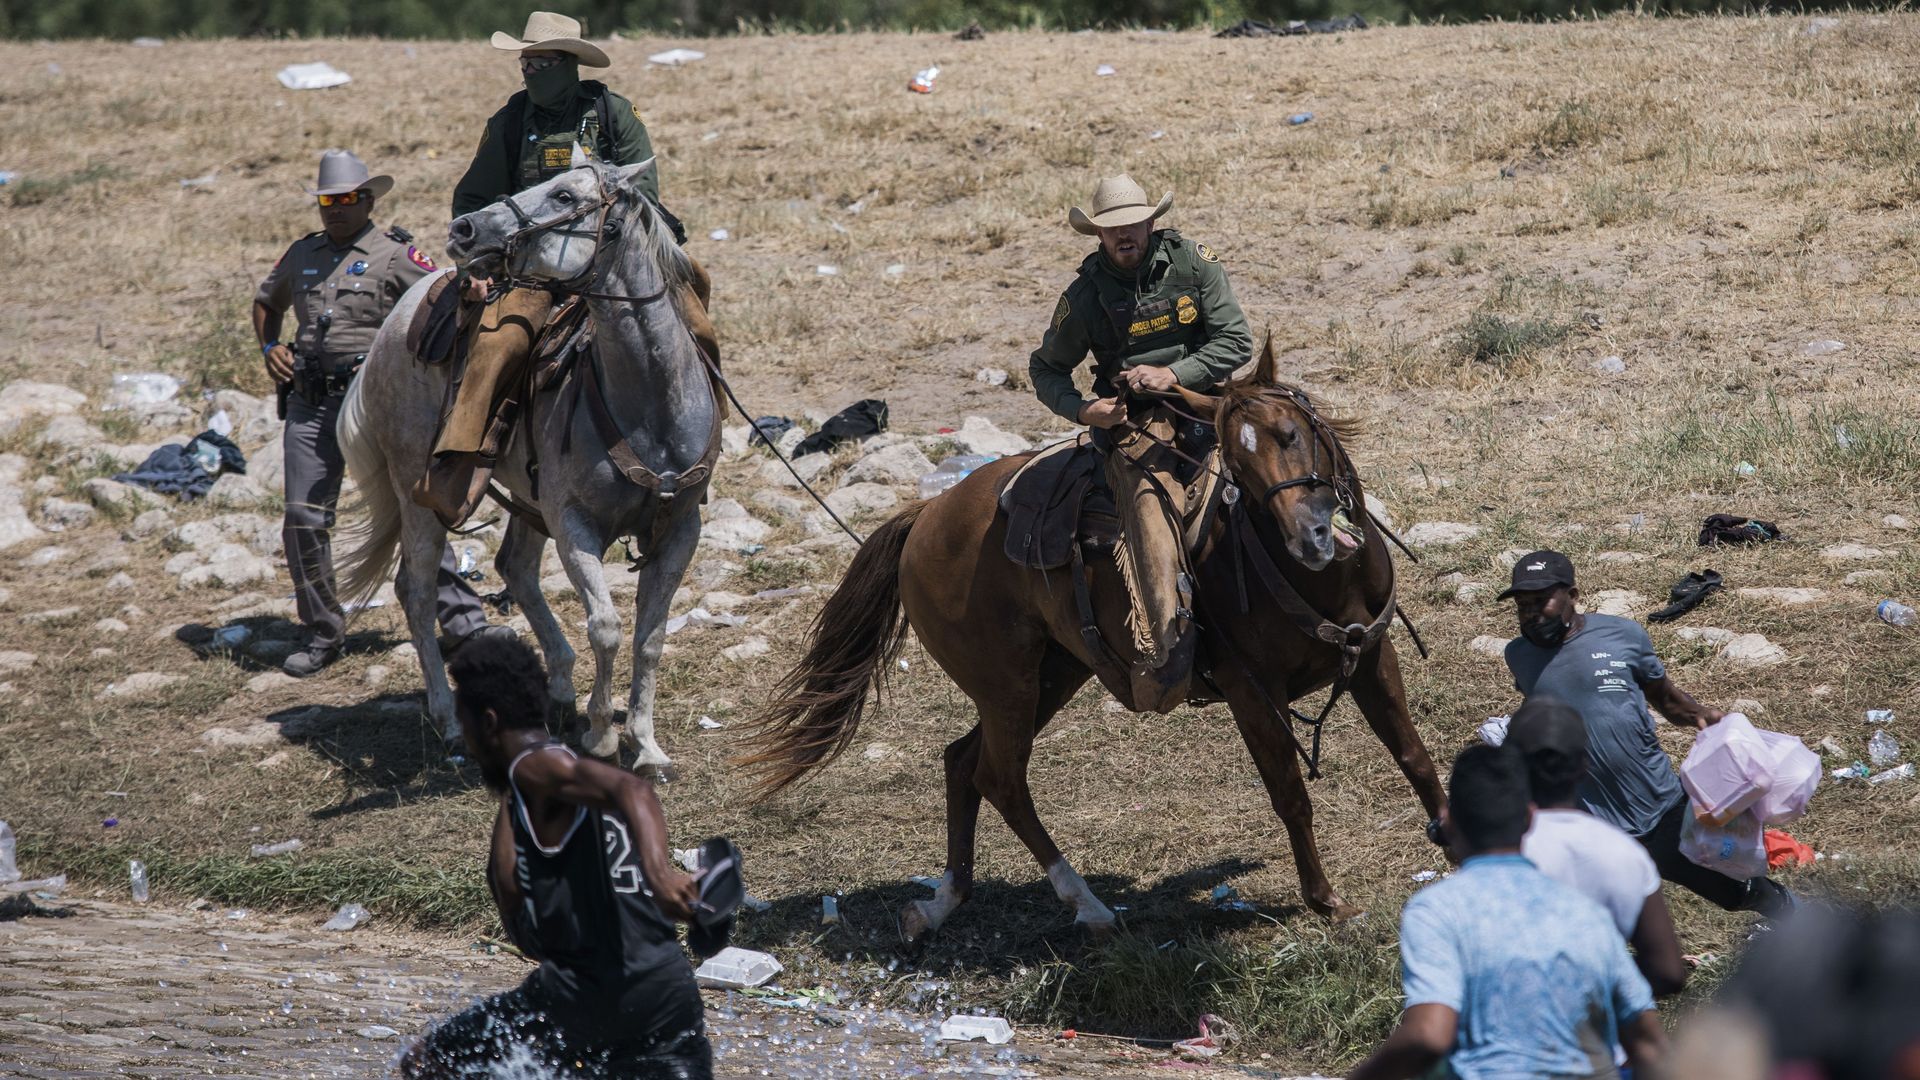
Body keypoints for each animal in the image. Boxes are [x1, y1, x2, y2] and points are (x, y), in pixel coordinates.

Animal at [334, 159, 718, 764]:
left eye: (563, 195)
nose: (464, 229)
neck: (650, 403)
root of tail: (391, 327)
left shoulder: (681, 528)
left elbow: (651, 636)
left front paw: (647, 745)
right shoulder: (574, 524)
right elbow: (607, 626)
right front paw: (602, 734)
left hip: (527, 496)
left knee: (514, 565)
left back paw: (558, 687)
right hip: (418, 493)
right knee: (416, 591)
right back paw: (448, 720)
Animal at [737, 340, 1443, 937]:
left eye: (1291, 435)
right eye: (1237, 465)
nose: (1311, 538)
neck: (1316, 578)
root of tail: (924, 517)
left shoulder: (1373, 655)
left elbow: (1414, 755)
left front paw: (1450, 836)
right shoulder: (1252, 693)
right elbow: (1291, 795)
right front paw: (1327, 902)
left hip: (1052, 675)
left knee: (962, 762)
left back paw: (940, 905)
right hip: (1008, 687)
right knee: (1000, 777)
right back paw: (1087, 904)